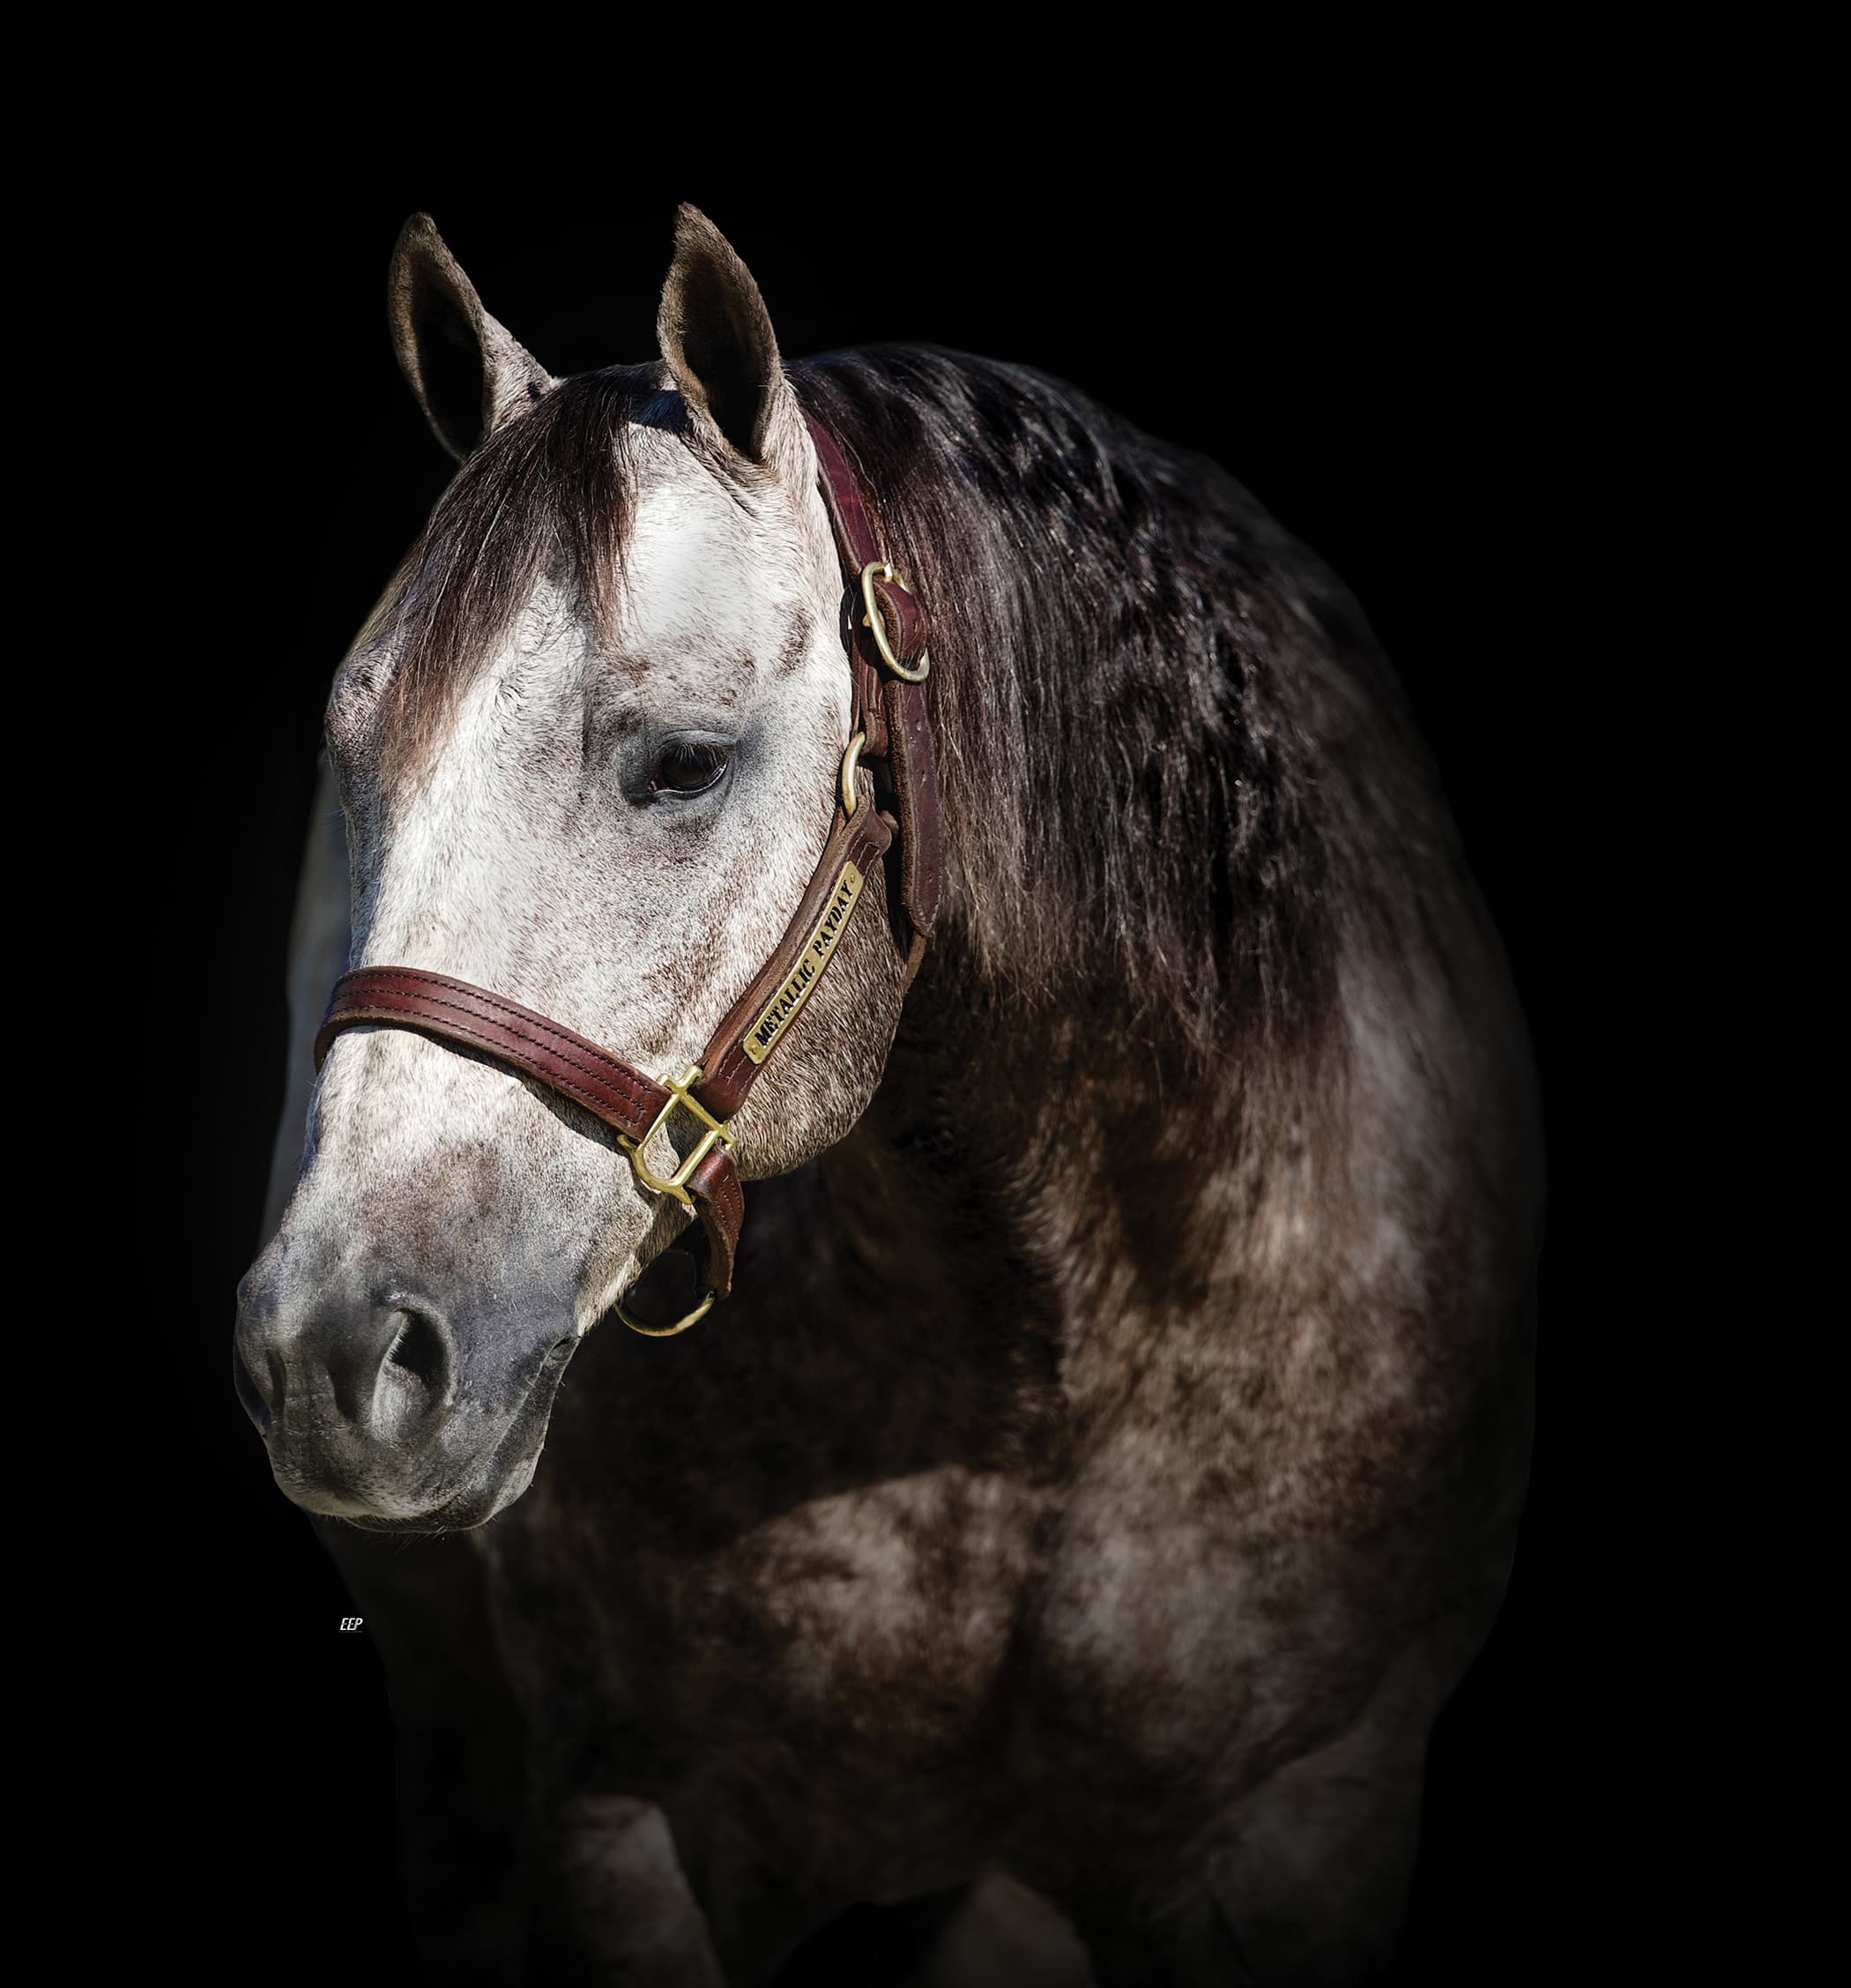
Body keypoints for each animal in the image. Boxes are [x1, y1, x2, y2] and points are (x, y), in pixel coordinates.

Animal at [237, 204, 1543, 1987]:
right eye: (355, 753)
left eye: (682, 761)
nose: (332, 1350)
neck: (1036, 1361)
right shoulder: (623, 1821)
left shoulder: (1301, 1830)